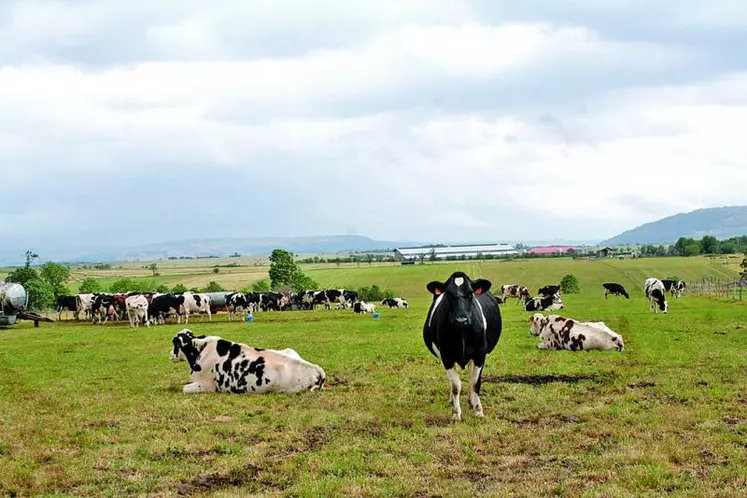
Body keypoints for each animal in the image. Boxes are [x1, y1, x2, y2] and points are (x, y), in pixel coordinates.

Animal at [424, 272, 506, 420]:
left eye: (470, 293)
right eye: (448, 294)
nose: (461, 320)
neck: (462, 332)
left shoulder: (480, 354)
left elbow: (475, 383)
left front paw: (478, 410)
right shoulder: (446, 356)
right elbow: (456, 385)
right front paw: (456, 413)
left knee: (470, 375)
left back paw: (471, 400)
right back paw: (453, 400)